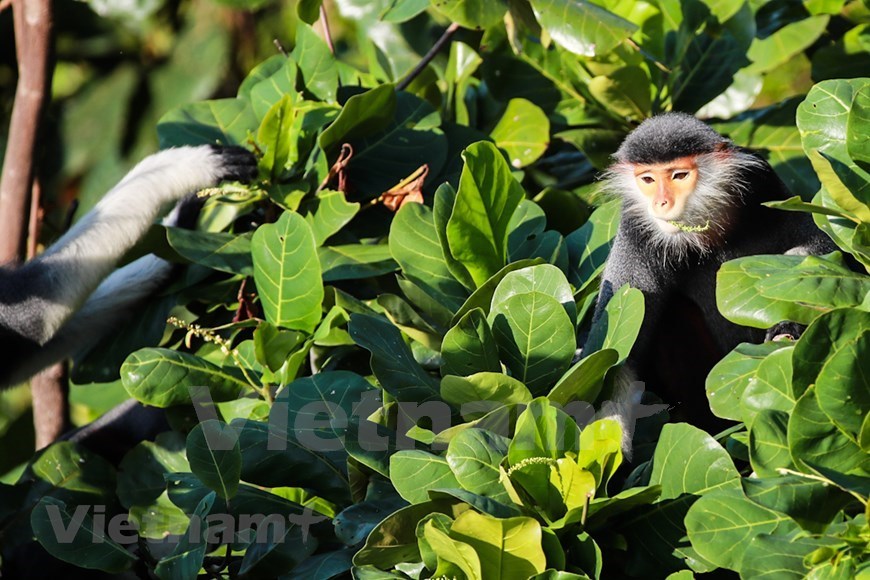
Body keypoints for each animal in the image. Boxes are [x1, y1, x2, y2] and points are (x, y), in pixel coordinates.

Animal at [596, 113, 840, 456]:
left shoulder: (762, 183)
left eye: (679, 175)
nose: (661, 203)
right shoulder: (636, 229)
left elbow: (823, 246)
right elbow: (617, 359)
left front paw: (786, 326)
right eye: (648, 180)